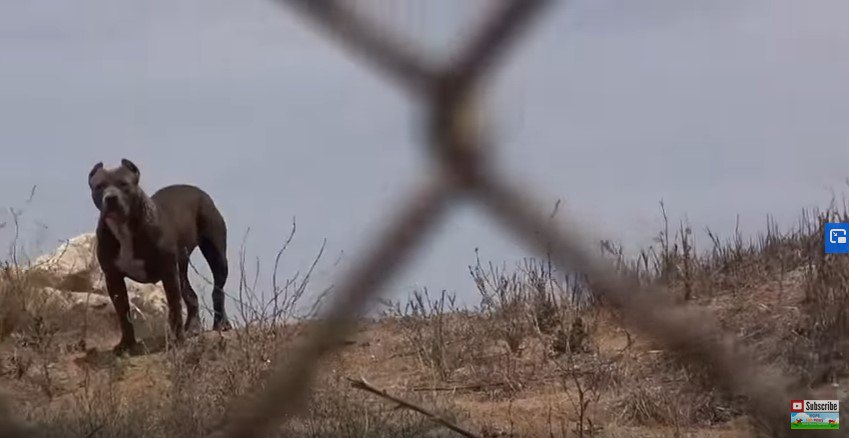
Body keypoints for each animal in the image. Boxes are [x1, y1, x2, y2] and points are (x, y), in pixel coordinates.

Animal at [88, 159, 232, 354]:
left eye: (124, 184)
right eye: (99, 186)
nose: (110, 198)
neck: (124, 228)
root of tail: (198, 191)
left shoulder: (168, 272)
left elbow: (174, 307)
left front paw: (178, 339)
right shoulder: (113, 278)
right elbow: (123, 313)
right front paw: (126, 344)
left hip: (216, 255)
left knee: (218, 289)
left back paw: (220, 324)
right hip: (181, 268)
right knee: (191, 295)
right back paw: (193, 327)